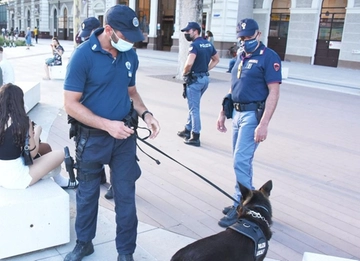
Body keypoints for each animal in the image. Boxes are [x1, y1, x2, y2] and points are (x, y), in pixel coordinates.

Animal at [63, 4, 160, 260]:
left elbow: (131, 89)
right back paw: (82, 245)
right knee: (87, 189)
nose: (140, 41)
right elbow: (72, 101)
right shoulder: (77, 65)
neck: (108, 49)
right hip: (87, 162)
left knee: (124, 185)